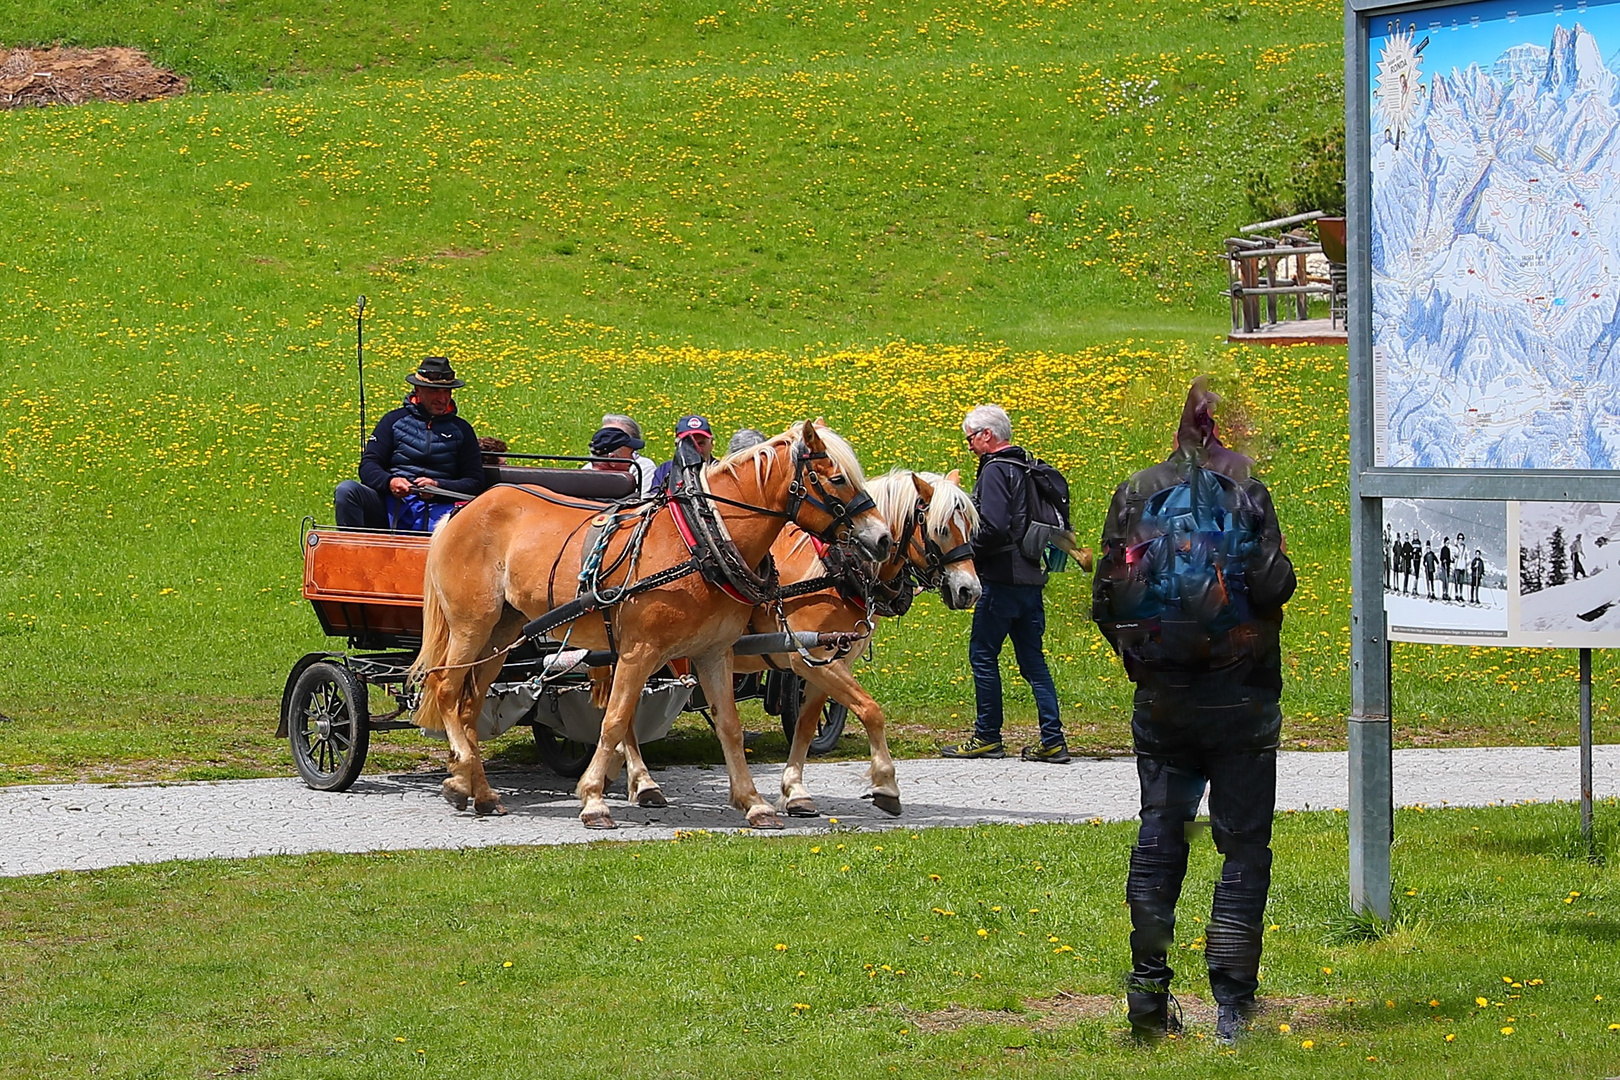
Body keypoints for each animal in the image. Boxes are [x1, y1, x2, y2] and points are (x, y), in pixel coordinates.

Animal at [405, 420, 887, 829]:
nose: (881, 538)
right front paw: (594, 799)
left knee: (468, 705)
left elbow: (729, 726)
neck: (700, 539)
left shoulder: (713, 652)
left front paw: (753, 802)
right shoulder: (639, 651)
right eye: (838, 478)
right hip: (472, 624)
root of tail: (463, 510)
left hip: (503, 633)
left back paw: (476, 789)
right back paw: (463, 768)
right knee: (445, 689)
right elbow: (615, 720)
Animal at [738, 469, 984, 816]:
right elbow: (871, 710)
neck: (838, 568)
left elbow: (806, 724)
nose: (970, 590)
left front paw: (795, 789)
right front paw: (886, 784)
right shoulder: (811, 657)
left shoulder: (828, 662)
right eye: (941, 529)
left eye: (972, 529)